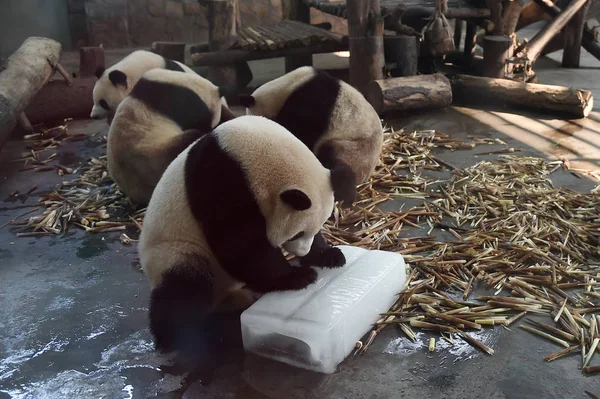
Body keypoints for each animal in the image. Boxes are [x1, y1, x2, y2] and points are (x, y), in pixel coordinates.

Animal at [139, 114, 356, 368]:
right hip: (174, 250)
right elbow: (238, 243)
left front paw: (328, 255)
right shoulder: (222, 180)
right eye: (297, 234)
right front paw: (298, 276)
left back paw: (239, 298)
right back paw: (172, 337)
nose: (302, 252)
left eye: (319, 226)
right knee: (185, 285)